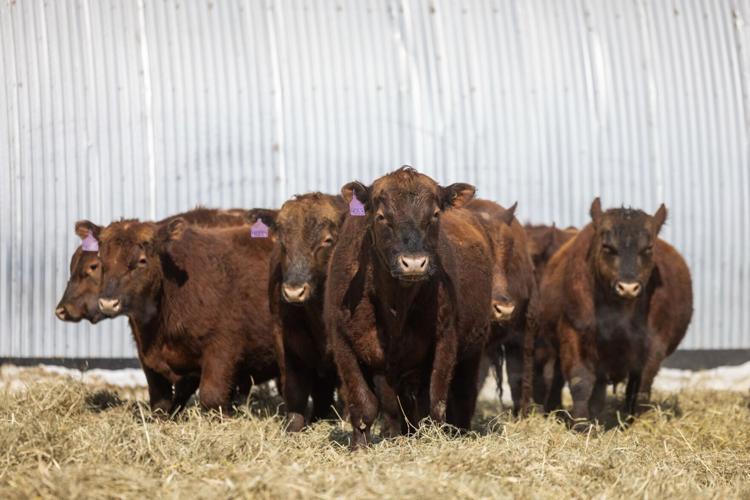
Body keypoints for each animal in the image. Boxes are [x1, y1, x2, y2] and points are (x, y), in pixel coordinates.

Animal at [94, 218, 279, 413]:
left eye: (142, 261)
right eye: (100, 261)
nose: (108, 302)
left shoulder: (222, 349)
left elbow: (211, 397)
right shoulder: (148, 358)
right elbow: (161, 401)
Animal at [246, 193, 347, 432]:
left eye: (327, 241)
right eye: (282, 243)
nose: (294, 291)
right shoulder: (285, 341)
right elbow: (294, 391)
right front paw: (293, 428)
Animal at [324, 166, 493, 449]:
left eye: (435, 214)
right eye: (381, 216)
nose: (414, 263)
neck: (395, 309)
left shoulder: (445, 340)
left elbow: (436, 402)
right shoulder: (343, 342)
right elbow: (363, 404)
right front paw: (360, 448)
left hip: (471, 351)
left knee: (459, 397)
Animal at [538, 198, 693, 424]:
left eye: (648, 248)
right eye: (607, 247)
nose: (628, 287)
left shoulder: (656, 342)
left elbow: (643, 385)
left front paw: (639, 419)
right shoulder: (573, 332)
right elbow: (579, 380)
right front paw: (581, 423)